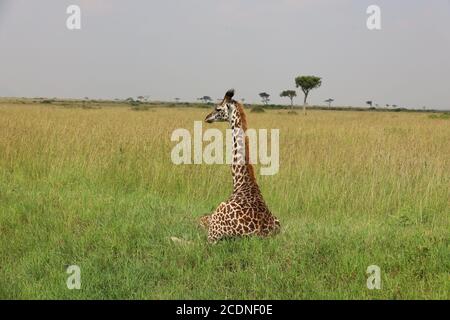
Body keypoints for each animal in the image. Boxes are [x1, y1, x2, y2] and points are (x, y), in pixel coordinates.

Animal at [201, 89, 282, 244]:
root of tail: (260, 235)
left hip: (214, 231)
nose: (207, 118)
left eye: (218, 108)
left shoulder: (211, 237)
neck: (241, 182)